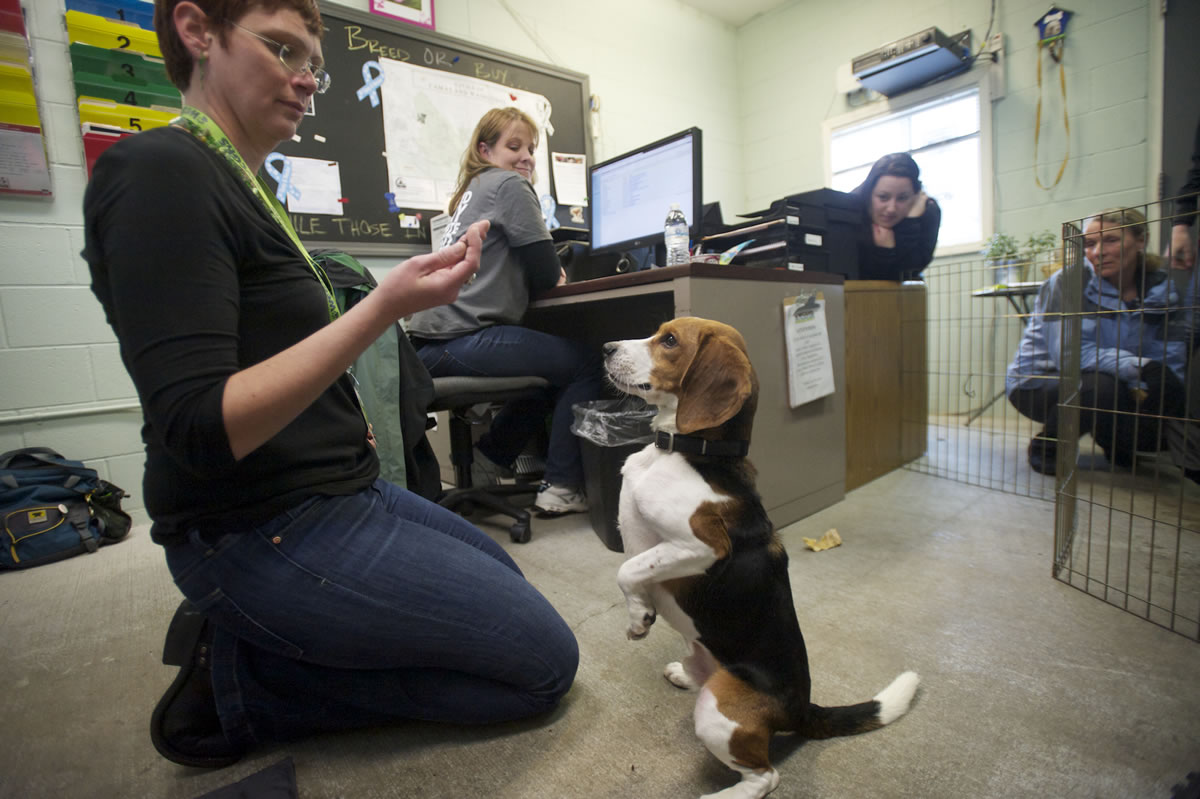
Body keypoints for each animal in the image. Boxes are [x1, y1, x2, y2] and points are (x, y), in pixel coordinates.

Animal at [604, 316, 921, 796]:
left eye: (670, 340)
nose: (605, 348)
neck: (687, 451)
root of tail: (802, 709)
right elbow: (630, 571)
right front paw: (640, 612)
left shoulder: (701, 546)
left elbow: (628, 569)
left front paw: (639, 617)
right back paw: (683, 671)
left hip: (717, 712)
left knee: (766, 777)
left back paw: (722, 793)